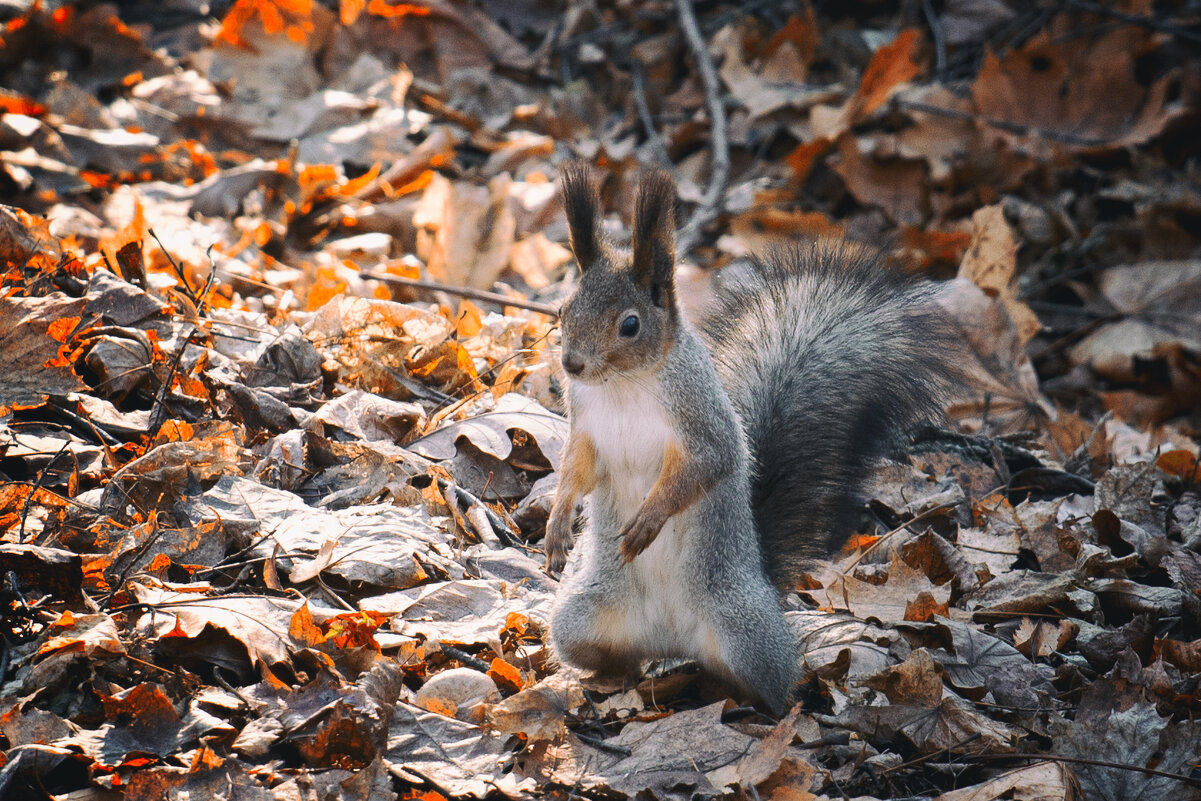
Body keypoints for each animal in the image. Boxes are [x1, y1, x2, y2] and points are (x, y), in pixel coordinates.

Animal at [542, 164, 946, 715]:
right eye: (563, 310)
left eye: (630, 325)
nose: (572, 364)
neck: (623, 386)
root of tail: (672, 641)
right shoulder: (585, 424)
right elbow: (576, 471)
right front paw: (558, 524)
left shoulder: (701, 419)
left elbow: (706, 466)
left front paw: (647, 521)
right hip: (582, 619)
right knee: (613, 655)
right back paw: (599, 680)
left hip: (744, 633)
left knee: (771, 683)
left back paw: (762, 705)